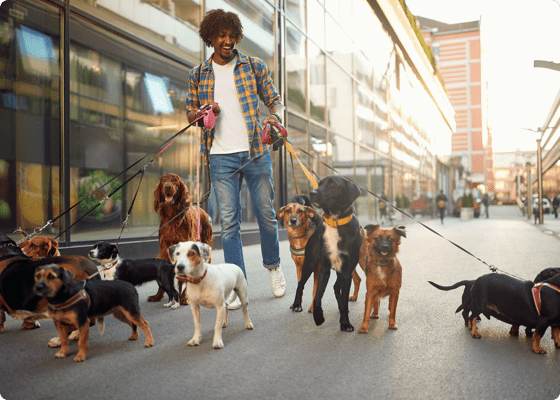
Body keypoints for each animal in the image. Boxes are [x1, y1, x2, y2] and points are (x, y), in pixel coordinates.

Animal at [288, 175, 364, 332]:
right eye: (320, 184)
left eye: (332, 185)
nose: (312, 193)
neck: (335, 222)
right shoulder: (324, 268)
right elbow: (317, 296)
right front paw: (318, 317)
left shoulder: (346, 271)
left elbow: (344, 298)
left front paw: (345, 323)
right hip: (309, 263)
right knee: (300, 283)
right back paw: (297, 304)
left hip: (341, 271)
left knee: (336, 287)